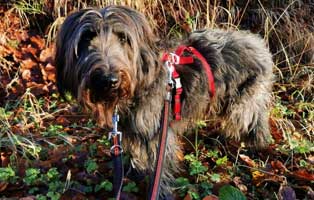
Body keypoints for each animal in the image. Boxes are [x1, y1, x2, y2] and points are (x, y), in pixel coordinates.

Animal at [55, 5, 274, 197]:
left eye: (123, 38)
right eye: (86, 37)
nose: (109, 79)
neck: (141, 80)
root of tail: (257, 43)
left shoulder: (158, 134)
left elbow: (159, 168)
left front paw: (158, 192)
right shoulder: (134, 130)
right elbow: (136, 155)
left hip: (243, 102)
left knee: (253, 121)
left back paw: (258, 146)